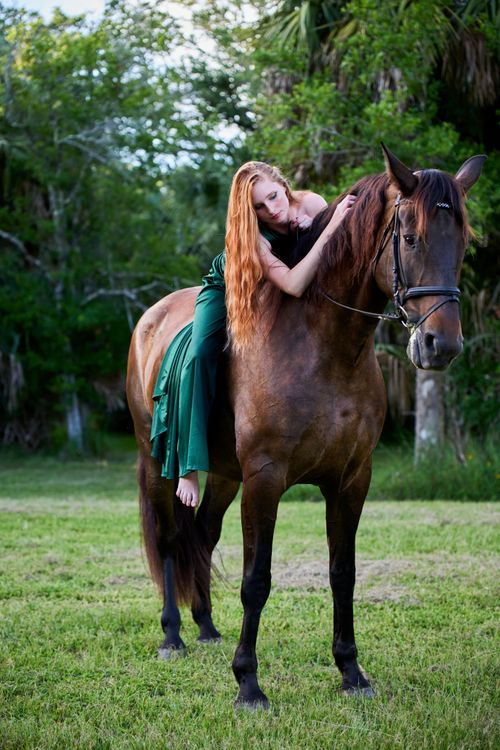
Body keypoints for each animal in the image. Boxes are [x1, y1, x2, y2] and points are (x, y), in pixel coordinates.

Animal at [126, 145, 485, 709]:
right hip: (156, 461)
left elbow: (343, 573)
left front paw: (351, 671)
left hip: (223, 474)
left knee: (201, 534)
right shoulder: (266, 479)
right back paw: (172, 636)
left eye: (464, 242)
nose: (440, 345)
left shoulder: (351, 480)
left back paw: (205, 626)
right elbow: (256, 580)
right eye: (410, 238)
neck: (323, 345)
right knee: (168, 538)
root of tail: (151, 317)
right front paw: (248, 684)